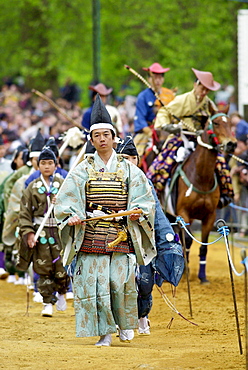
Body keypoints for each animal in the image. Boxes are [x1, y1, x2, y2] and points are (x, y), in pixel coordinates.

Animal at [163, 107, 236, 284]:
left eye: (230, 123)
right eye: (216, 123)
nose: (232, 144)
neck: (200, 178)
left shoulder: (209, 216)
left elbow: (203, 246)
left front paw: (202, 277)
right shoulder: (183, 213)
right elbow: (188, 241)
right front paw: (185, 272)